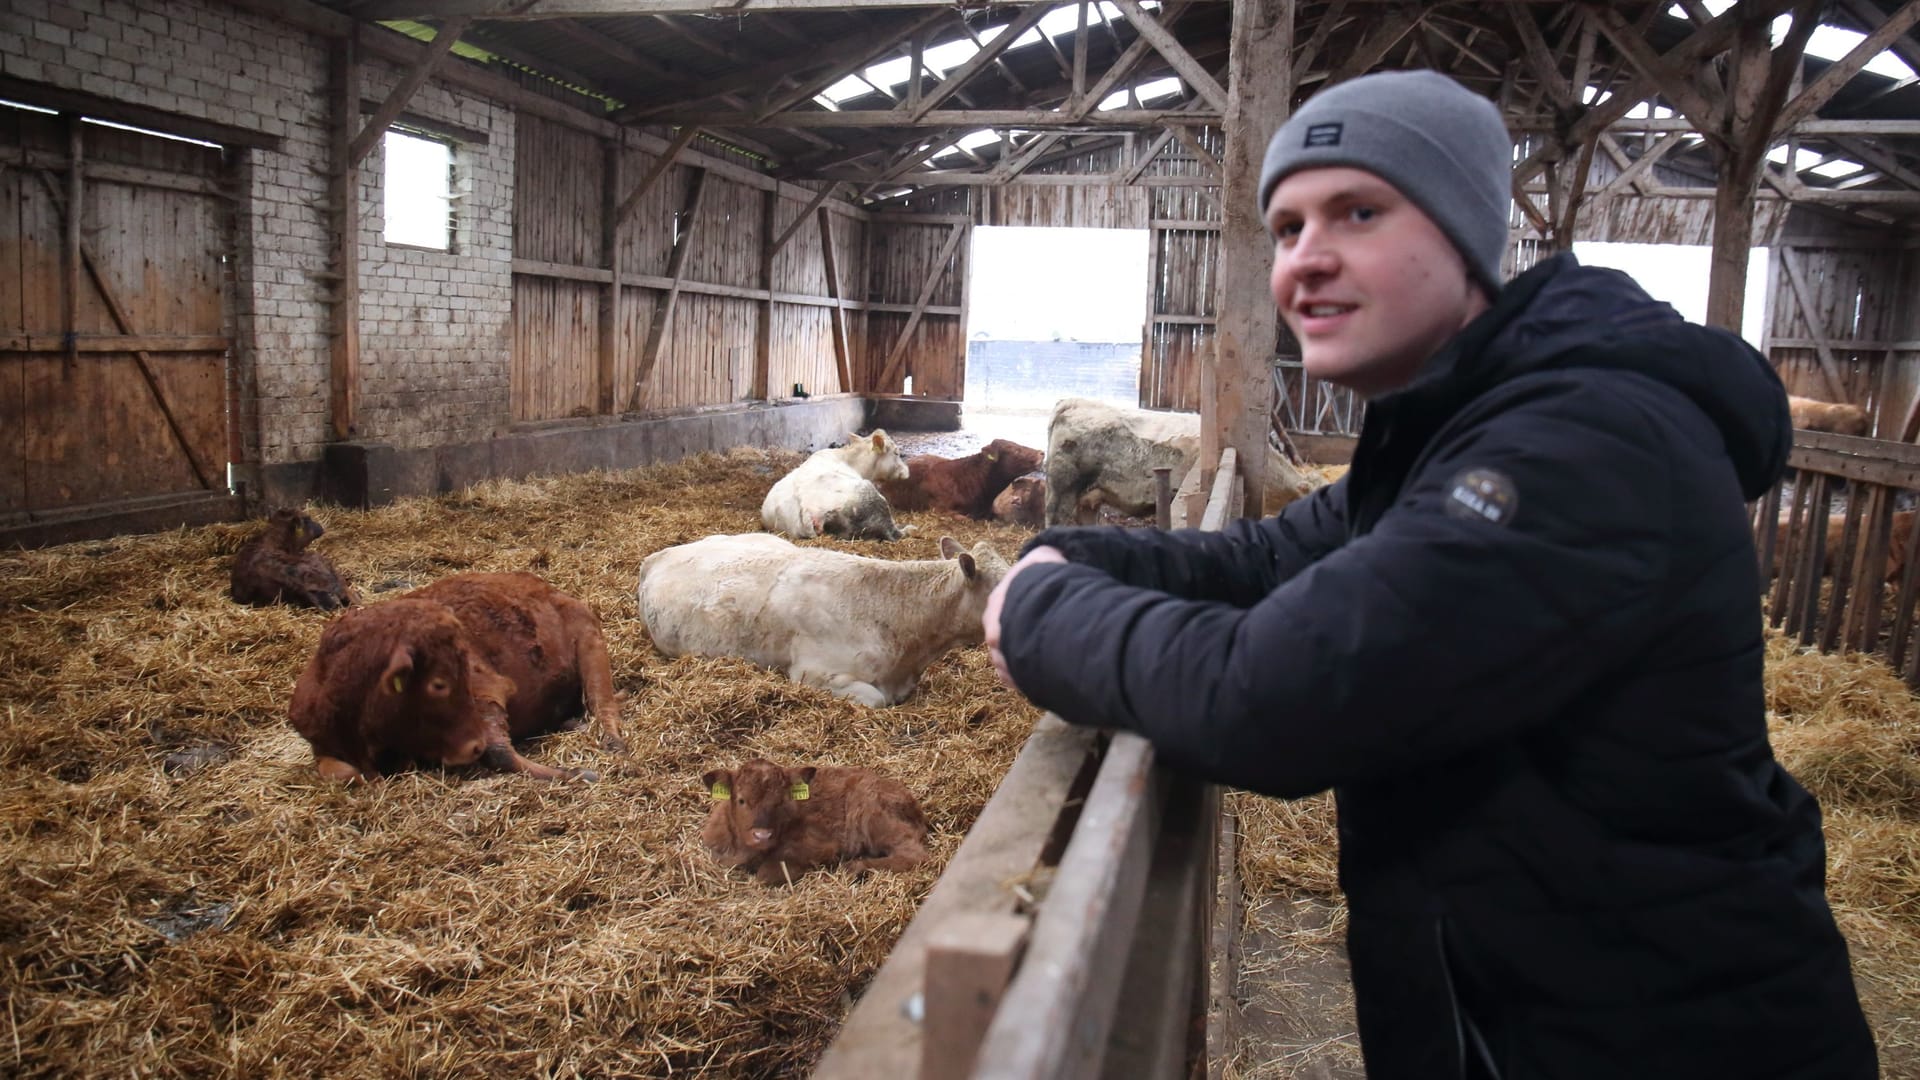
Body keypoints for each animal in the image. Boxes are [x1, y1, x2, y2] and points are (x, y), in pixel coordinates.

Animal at [288, 568, 625, 776]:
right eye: (438, 685)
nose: (469, 747)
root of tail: (545, 587)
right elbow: (341, 773)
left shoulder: (489, 691)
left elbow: (497, 751)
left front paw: (578, 773)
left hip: (590, 640)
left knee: (602, 704)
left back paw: (609, 745)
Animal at [702, 757, 933, 883]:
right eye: (741, 800)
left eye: (780, 801)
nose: (762, 835)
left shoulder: (819, 843)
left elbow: (766, 873)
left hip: (874, 815)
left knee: (915, 854)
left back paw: (854, 866)